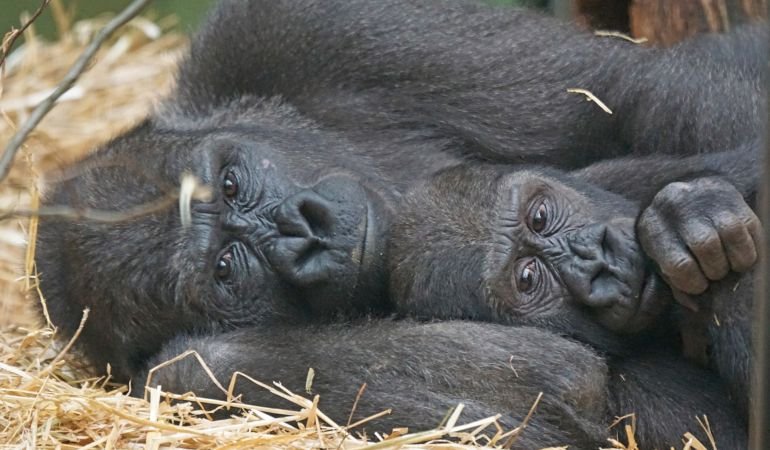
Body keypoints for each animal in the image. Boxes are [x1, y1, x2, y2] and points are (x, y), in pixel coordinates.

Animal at [34, 1, 760, 448]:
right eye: (224, 269)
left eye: (232, 183)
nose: (305, 231)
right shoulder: (163, 382)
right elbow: (556, 382)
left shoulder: (289, 32)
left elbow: (635, 92)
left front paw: (690, 216)